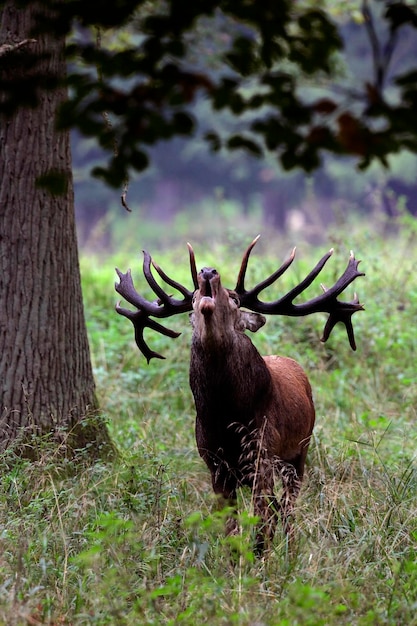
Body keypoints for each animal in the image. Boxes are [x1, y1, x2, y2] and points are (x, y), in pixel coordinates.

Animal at [114, 236, 364, 548]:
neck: (225, 414)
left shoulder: (262, 451)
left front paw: (262, 554)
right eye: (192, 300)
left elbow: (262, 521)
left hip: (301, 448)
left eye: (234, 299)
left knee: (288, 505)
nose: (207, 271)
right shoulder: (213, 463)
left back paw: (290, 546)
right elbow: (231, 527)